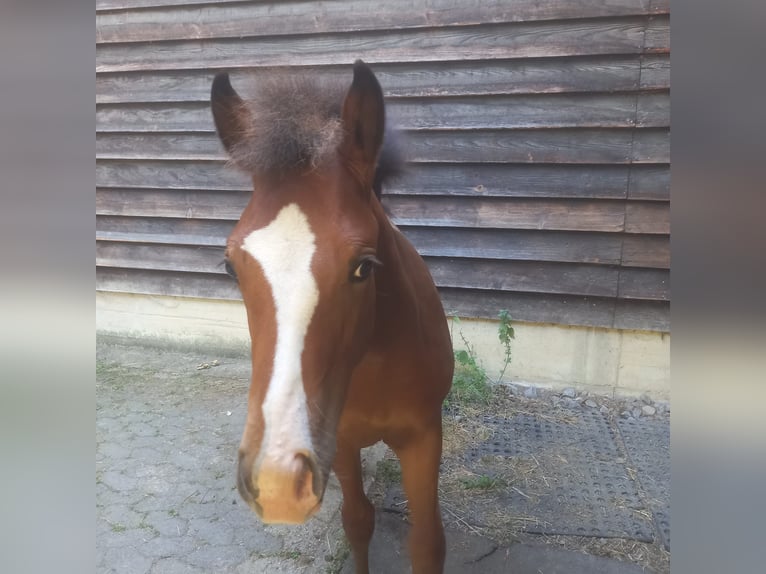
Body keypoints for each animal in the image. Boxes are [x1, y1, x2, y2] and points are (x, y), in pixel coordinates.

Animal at [210, 60, 453, 574]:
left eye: (364, 267)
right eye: (231, 267)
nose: (277, 484)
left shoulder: (425, 436)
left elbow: (427, 542)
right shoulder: (338, 442)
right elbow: (357, 521)